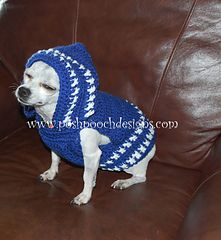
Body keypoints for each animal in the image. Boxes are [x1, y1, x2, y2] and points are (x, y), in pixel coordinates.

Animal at [15, 42, 155, 204]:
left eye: (48, 87)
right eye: (28, 75)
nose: (23, 90)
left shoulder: (91, 155)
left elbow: (86, 177)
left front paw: (85, 196)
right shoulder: (56, 143)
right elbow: (55, 159)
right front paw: (51, 173)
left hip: (130, 163)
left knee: (141, 177)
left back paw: (124, 182)